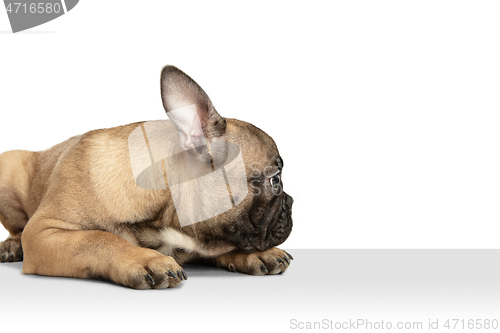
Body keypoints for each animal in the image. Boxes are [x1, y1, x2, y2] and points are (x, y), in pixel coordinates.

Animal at [0, 65, 292, 288]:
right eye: (275, 180)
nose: (290, 202)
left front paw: (260, 254)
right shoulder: (43, 232)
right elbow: (98, 239)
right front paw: (146, 259)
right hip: (8, 167)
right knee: (18, 229)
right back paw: (12, 246)